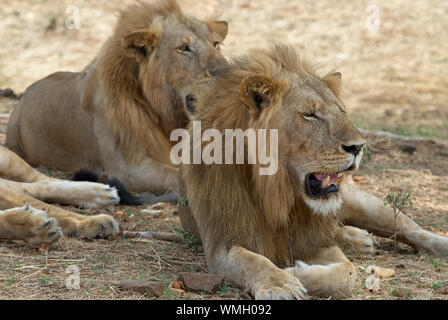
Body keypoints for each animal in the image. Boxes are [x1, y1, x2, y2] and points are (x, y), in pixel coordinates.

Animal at [6, 0, 231, 195]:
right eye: (183, 48)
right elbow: (176, 176)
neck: (166, 113)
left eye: (215, 44)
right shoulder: (128, 168)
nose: (226, 72)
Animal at [178, 43, 448, 300]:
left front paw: (295, 271)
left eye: (341, 111)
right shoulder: (223, 241)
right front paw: (281, 284)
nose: (358, 147)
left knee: (409, 228)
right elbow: (254, 262)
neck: (277, 193)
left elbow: (346, 274)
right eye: (311, 115)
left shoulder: (316, 240)